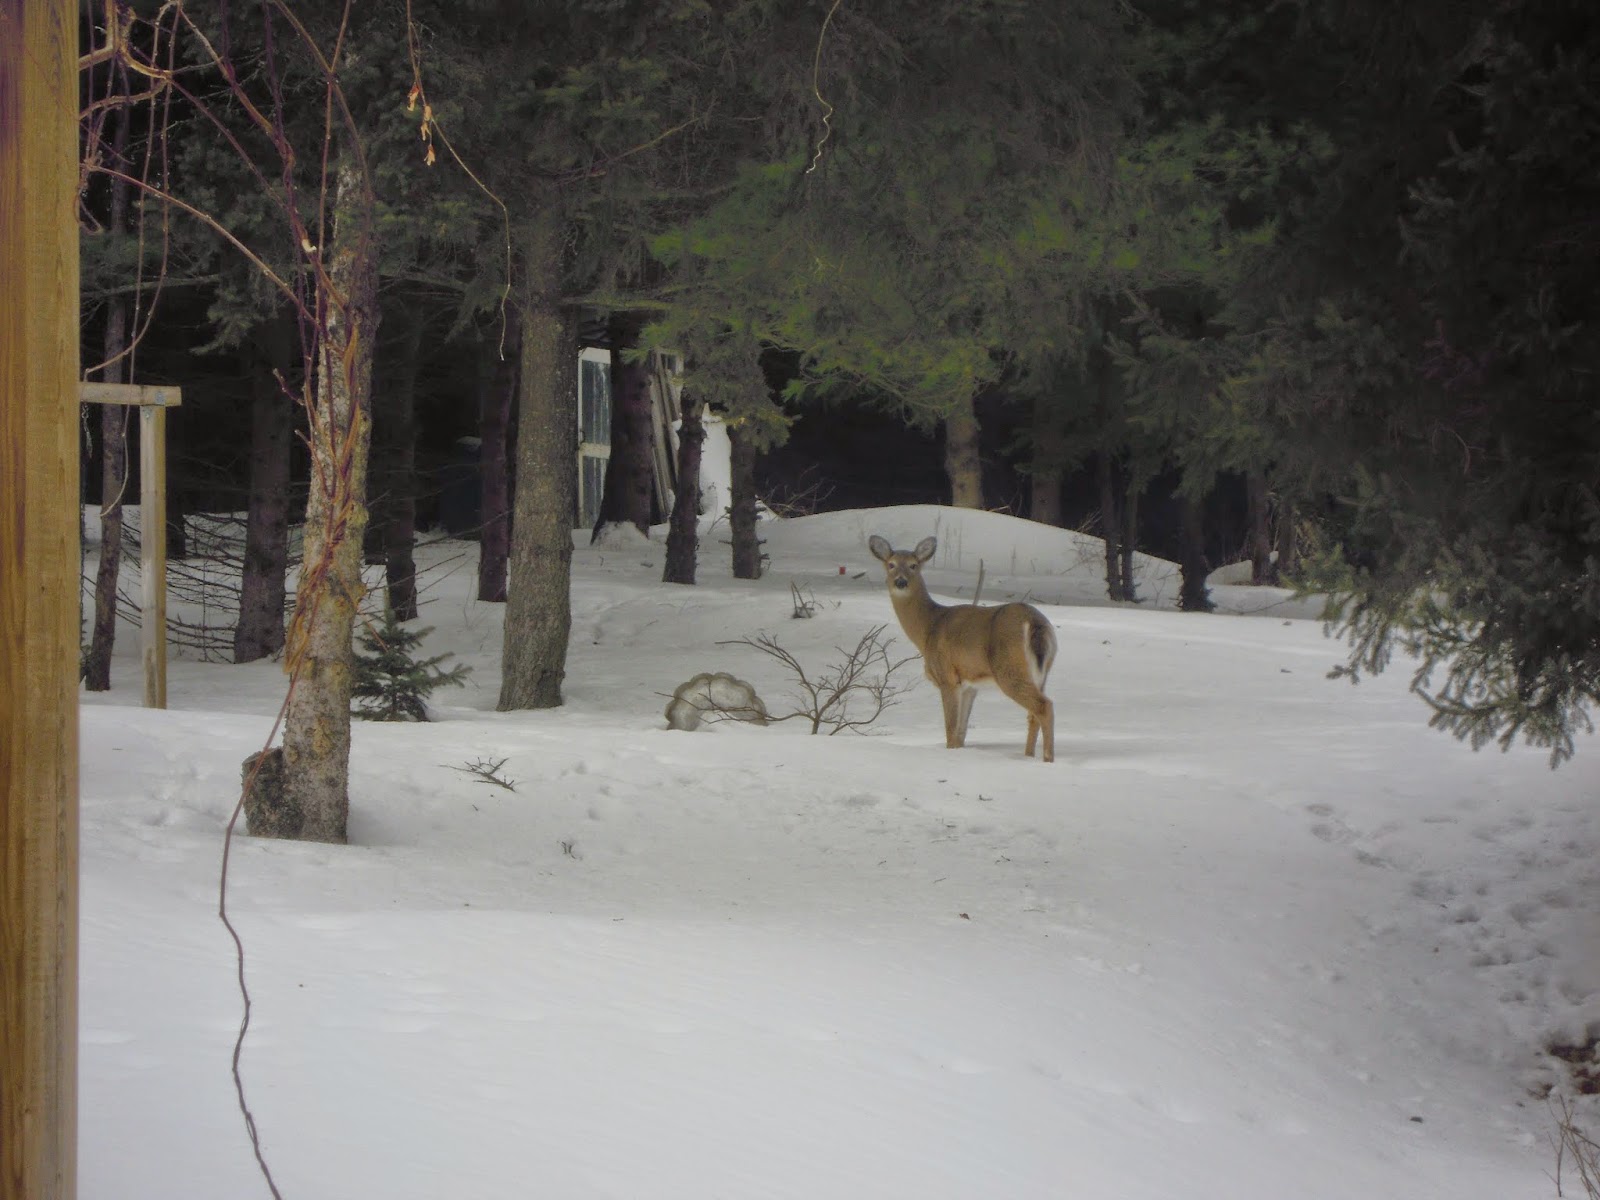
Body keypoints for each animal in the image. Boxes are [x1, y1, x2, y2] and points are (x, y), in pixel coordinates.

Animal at [868, 534, 1057, 762]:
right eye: (891, 564)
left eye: (914, 565)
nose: (901, 581)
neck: (929, 628)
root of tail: (1035, 621)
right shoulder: (969, 685)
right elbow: (961, 732)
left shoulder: (947, 676)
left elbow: (950, 729)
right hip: (1042, 672)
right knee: (1033, 714)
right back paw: (1028, 756)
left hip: (1009, 668)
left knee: (1044, 706)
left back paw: (1048, 759)